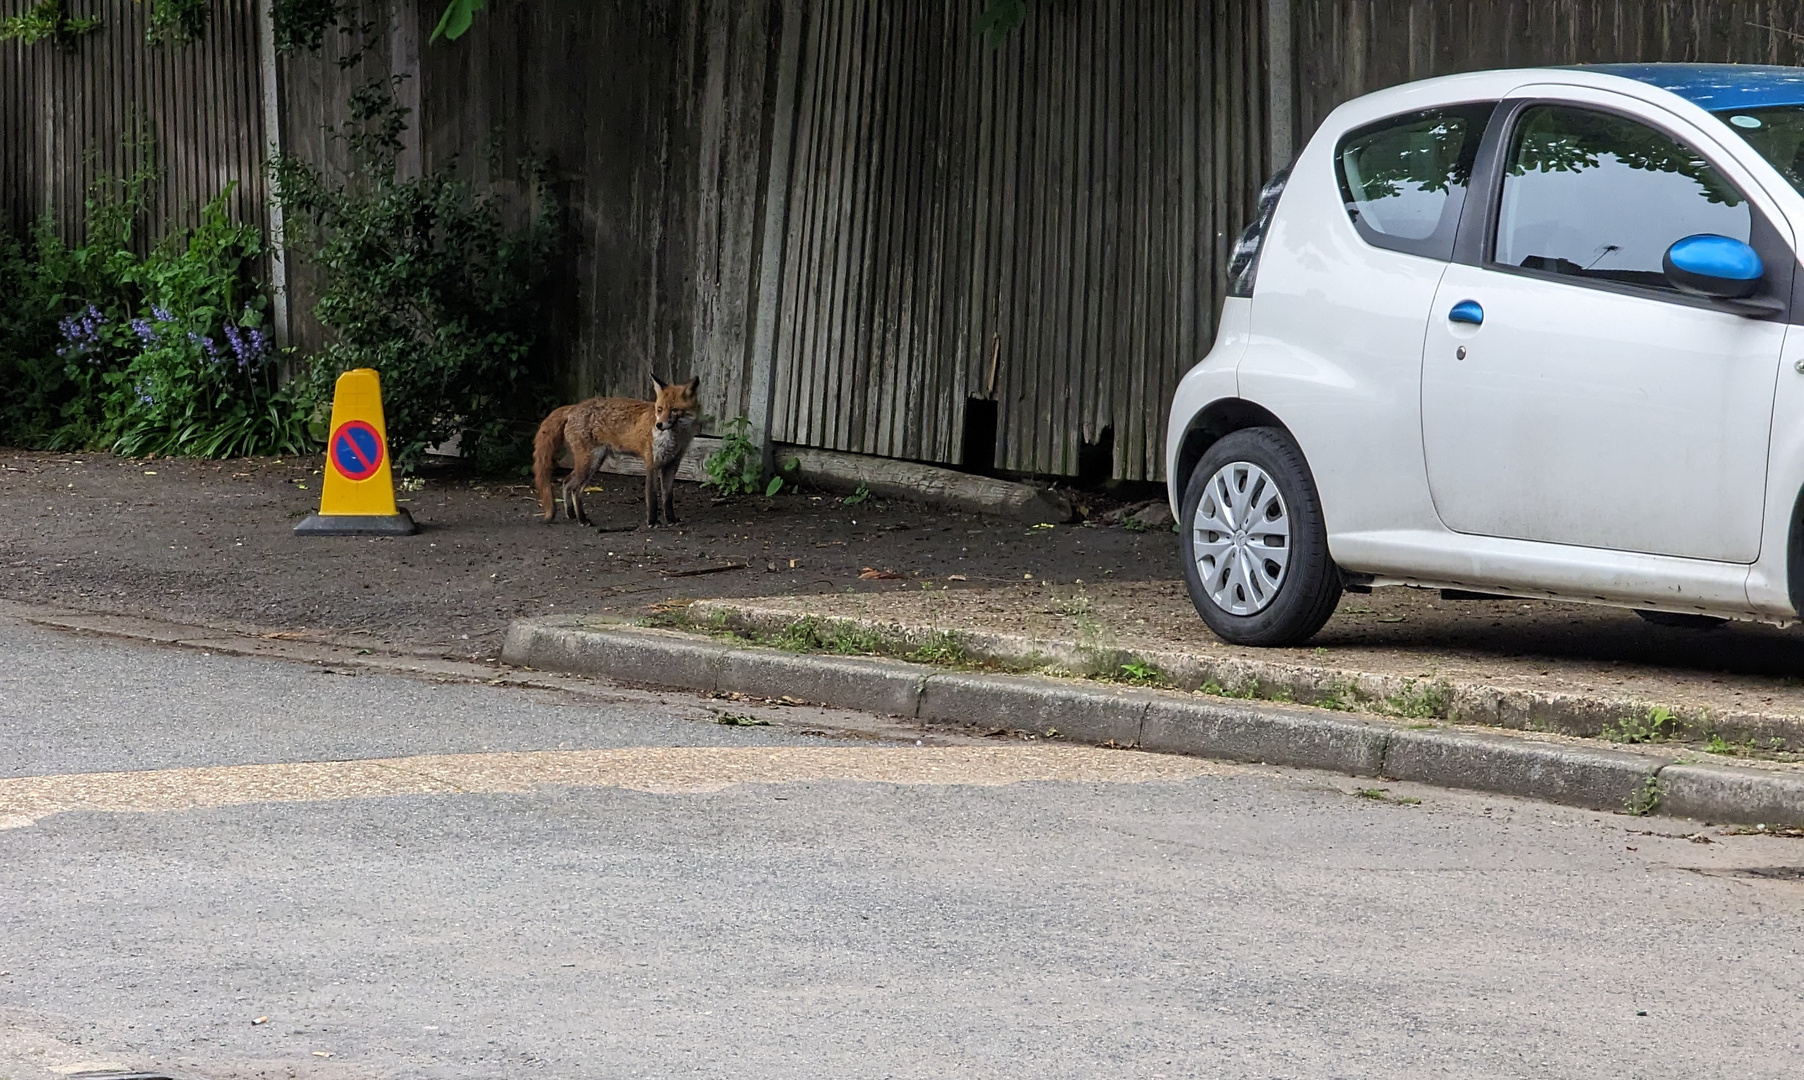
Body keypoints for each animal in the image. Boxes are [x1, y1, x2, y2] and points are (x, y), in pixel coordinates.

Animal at [526, 376, 696, 526]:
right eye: (659, 409)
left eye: (674, 410)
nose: (659, 425)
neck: (675, 438)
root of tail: (573, 407)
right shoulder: (651, 463)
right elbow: (652, 497)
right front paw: (652, 522)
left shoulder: (672, 465)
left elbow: (668, 497)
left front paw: (671, 520)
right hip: (591, 462)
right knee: (575, 489)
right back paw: (582, 520)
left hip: (593, 462)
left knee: (567, 482)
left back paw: (571, 514)